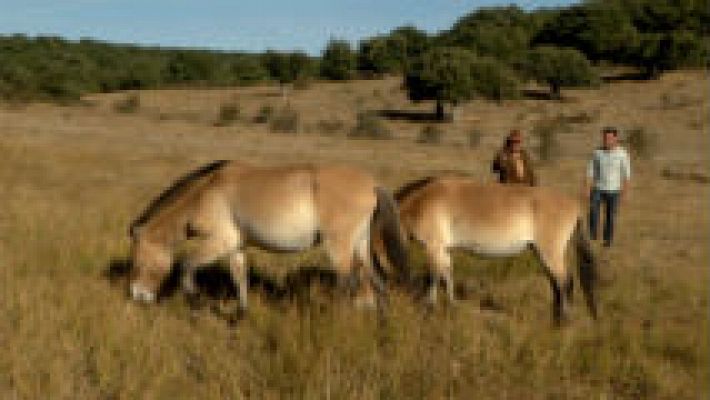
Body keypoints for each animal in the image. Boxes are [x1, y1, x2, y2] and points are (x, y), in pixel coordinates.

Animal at [127, 161, 406, 314]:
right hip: (360, 245)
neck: (205, 192)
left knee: (348, 284)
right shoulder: (235, 247)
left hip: (339, 248)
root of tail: (372, 184)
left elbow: (186, 267)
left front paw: (194, 301)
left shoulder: (219, 243)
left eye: (137, 262)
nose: (138, 296)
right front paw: (240, 318)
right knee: (378, 282)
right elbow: (240, 280)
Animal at [376, 177, 596, 324]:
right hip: (541, 253)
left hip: (550, 253)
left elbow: (434, 277)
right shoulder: (443, 250)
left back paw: (563, 322)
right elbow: (447, 275)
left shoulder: (434, 247)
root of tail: (575, 205)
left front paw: (428, 309)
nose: (381, 300)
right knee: (555, 284)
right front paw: (451, 307)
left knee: (565, 283)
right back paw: (555, 318)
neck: (422, 201)